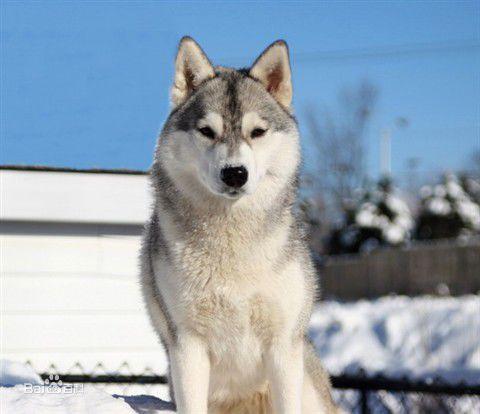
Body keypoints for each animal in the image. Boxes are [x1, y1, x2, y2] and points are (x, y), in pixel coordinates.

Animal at [140, 37, 338, 412]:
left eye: (257, 132)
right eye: (207, 132)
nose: (234, 173)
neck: (231, 238)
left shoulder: (282, 345)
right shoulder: (187, 344)